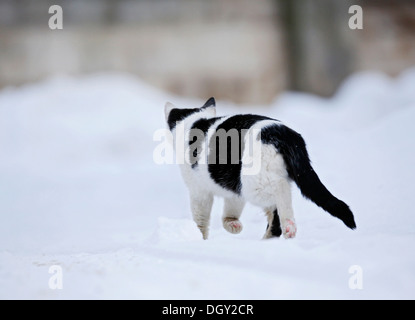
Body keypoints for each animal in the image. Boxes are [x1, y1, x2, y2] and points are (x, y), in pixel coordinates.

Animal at [166, 97, 358, 240]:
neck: (194, 122)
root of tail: (284, 134)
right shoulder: (233, 191)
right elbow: (230, 211)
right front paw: (233, 224)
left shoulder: (199, 191)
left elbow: (200, 219)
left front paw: (200, 238)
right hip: (247, 181)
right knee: (275, 216)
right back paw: (270, 239)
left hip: (254, 184)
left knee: (281, 194)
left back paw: (289, 226)